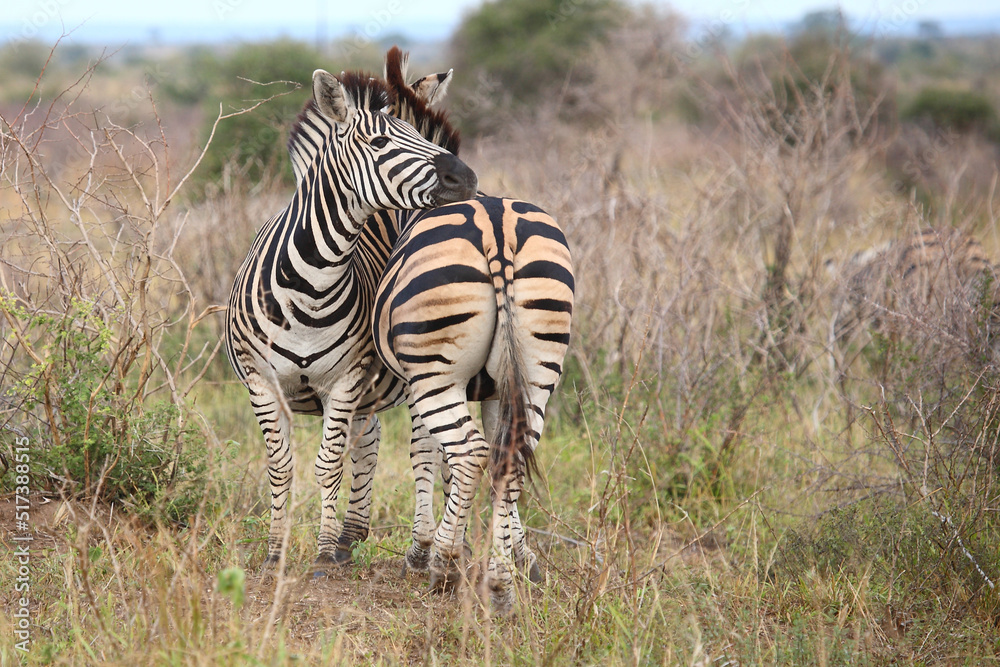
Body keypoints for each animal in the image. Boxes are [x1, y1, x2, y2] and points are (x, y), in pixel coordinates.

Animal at [225, 67, 478, 571]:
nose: (466, 177)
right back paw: (357, 535)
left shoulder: (343, 379)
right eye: (378, 143)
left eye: (423, 138)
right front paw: (276, 551)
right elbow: (281, 465)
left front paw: (322, 552)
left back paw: (430, 547)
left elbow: (329, 462)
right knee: (377, 437)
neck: (309, 285)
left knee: (432, 450)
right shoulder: (261, 381)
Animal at [372, 195, 575, 613]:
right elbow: (495, 464)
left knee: (469, 455)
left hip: (435, 372)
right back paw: (499, 586)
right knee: (511, 457)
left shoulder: (416, 385)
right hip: (537, 369)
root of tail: (497, 227)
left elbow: (426, 454)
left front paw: (424, 550)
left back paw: (444, 564)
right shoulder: (500, 391)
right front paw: (520, 556)